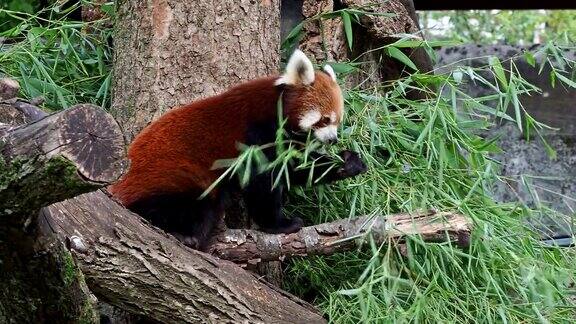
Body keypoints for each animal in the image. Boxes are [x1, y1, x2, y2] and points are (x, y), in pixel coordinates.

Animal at [110, 49, 366, 249]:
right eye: (324, 120)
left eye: (337, 122)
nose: (333, 140)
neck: (275, 110)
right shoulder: (256, 135)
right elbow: (263, 183)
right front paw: (279, 225)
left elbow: (293, 169)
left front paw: (347, 162)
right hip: (173, 179)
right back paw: (182, 234)